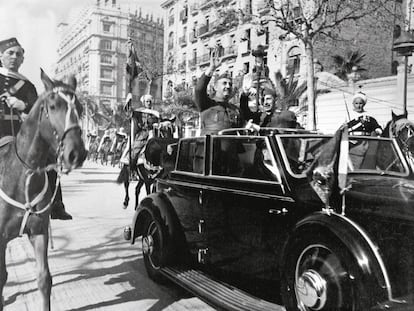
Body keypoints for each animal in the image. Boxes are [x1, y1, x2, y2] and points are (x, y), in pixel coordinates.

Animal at [0, 69, 86, 310]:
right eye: (53, 105)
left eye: (80, 109)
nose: (77, 153)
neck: (22, 178)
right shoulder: (0, 239)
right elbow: (1, 277)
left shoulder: (39, 232)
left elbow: (44, 279)